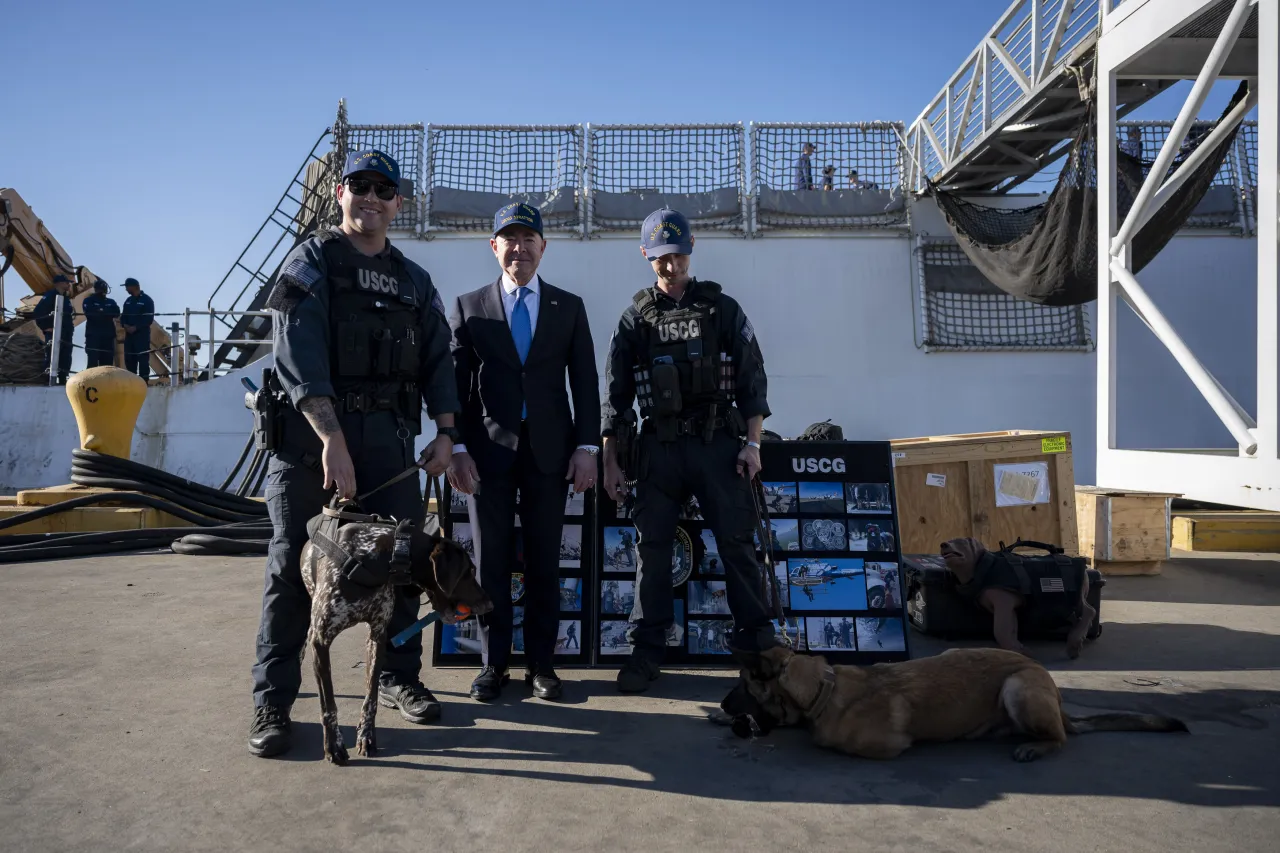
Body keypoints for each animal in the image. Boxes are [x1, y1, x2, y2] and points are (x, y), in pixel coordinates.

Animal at [300, 517, 494, 763]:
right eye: (469, 571)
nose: (490, 604)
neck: (373, 559)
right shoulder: (321, 641)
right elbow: (328, 704)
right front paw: (333, 745)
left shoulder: (377, 636)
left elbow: (371, 698)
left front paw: (367, 737)